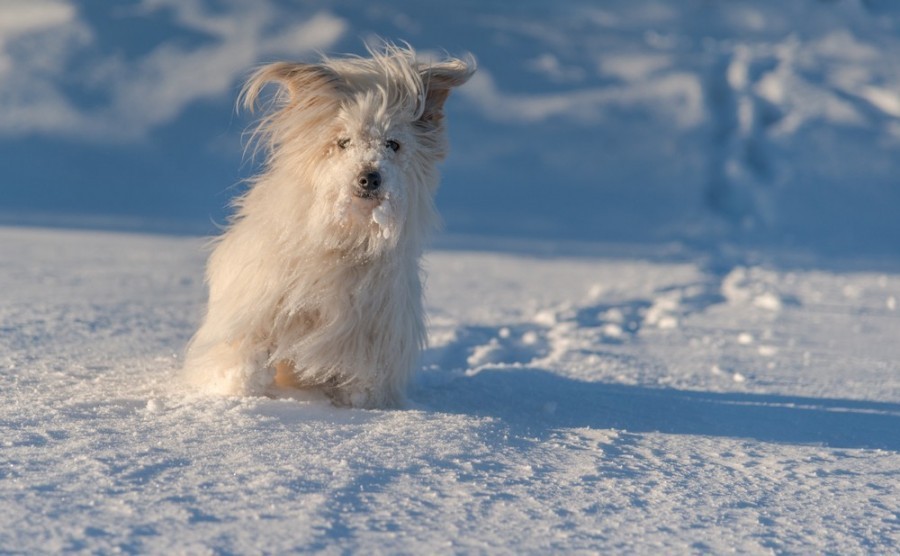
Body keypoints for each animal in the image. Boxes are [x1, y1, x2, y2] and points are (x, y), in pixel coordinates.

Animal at [185, 44, 478, 408]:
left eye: (393, 144)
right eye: (343, 142)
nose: (369, 177)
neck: (344, 235)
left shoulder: (371, 335)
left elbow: (362, 379)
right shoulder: (257, 301)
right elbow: (247, 352)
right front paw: (240, 391)